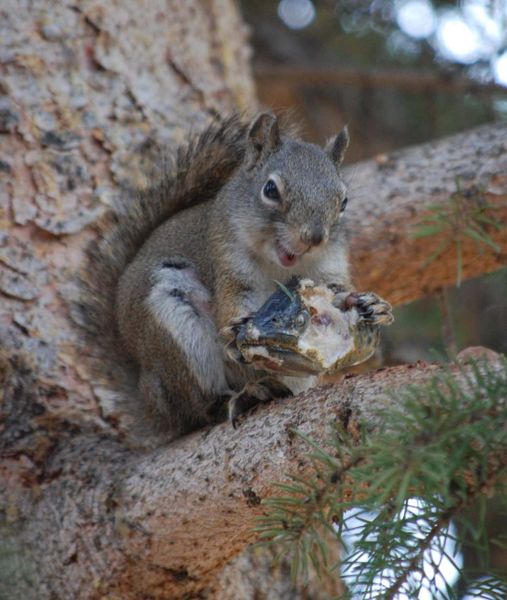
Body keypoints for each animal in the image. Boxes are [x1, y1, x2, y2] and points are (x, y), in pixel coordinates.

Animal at [81, 112, 380, 440]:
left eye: (344, 201)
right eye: (270, 190)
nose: (313, 237)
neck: (280, 265)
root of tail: (151, 400)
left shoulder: (329, 265)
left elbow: (337, 290)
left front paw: (369, 304)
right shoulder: (226, 258)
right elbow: (233, 298)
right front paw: (239, 328)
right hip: (172, 327)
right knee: (197, 409)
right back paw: (238, 399)